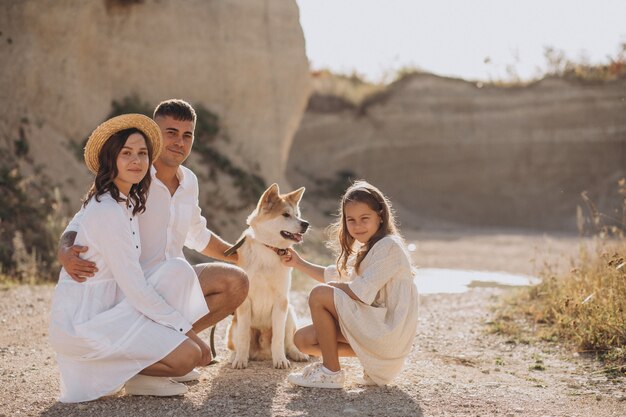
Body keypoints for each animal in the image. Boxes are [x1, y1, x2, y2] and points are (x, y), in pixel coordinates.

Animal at [225, 182, 310, 368]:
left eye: (297, 215)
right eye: (285, 214)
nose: (306, 224)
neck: (268, 251)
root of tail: (262, 354)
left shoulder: (281, 300)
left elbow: (278, 338)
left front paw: (280, 360)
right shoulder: (245, 302)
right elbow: (244, 338)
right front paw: (240, 361)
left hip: (289, 313)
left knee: (288, 342)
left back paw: (297, 354)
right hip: (234, 326)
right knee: (238, 343)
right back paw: (236, 356)